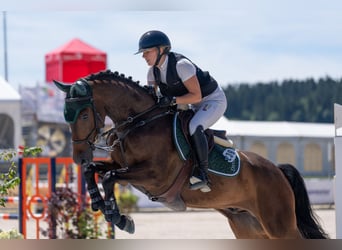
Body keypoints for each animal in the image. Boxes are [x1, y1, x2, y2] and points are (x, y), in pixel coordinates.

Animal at [53, 70, 328, 238]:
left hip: (279, 225)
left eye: (84, 115)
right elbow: (94, 171)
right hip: (249, 226)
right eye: (66, 115)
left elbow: (109, 177)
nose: (79, 156)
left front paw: (118, 217)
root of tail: (278, 170)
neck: (139, 122)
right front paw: (98, 203)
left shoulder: (155, 177)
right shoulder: (120, 165)